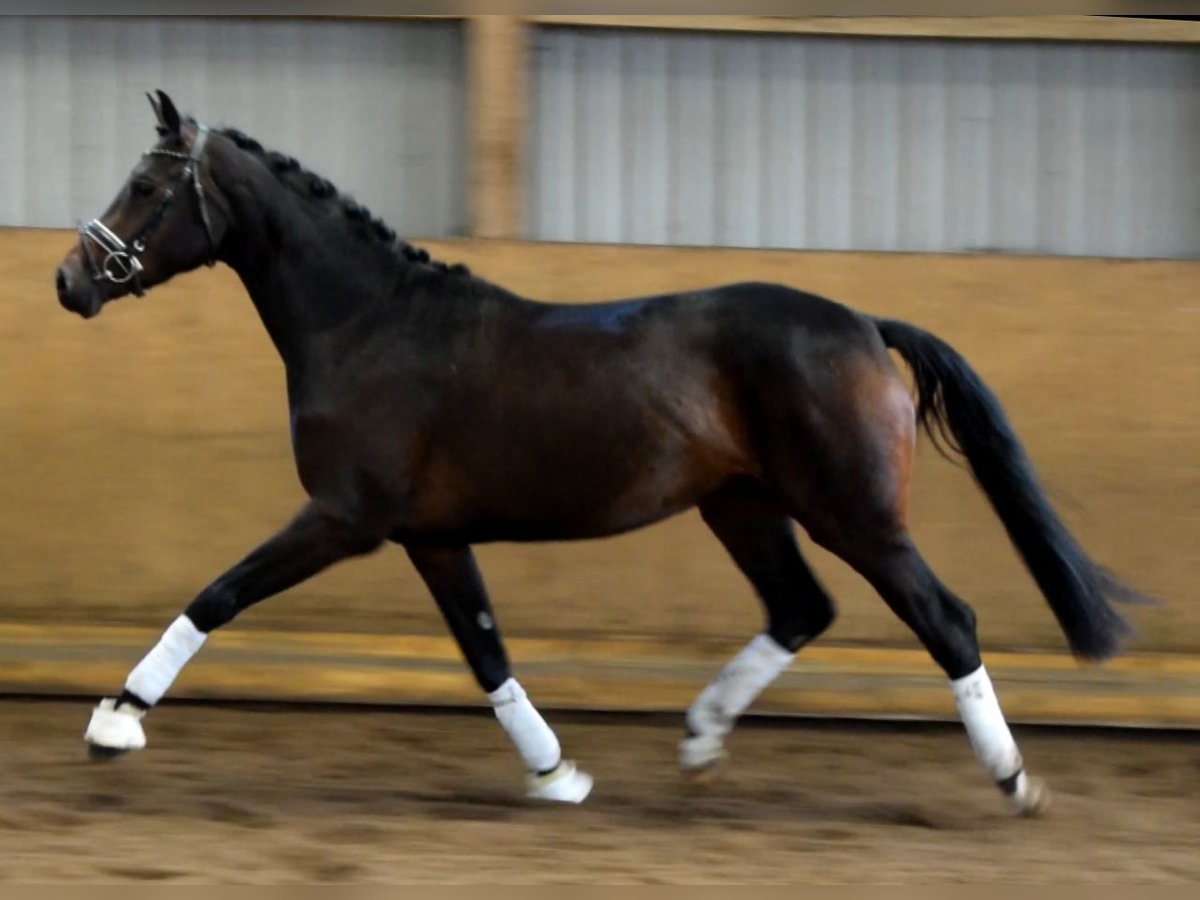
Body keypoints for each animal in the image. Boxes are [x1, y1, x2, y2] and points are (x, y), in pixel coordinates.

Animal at [54, 93, 1142, 816]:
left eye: (147, 185)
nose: (71, 279)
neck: (368, 325)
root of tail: (867, 327)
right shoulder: (431, 537)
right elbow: (486, 651)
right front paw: (557, 773)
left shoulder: (343, 518)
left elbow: (220, 593)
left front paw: (116, 720)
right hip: (744, 505)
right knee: (801, 608)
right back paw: (700, 743)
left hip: (856, 515)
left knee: (946, 621)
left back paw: (1014, 779)